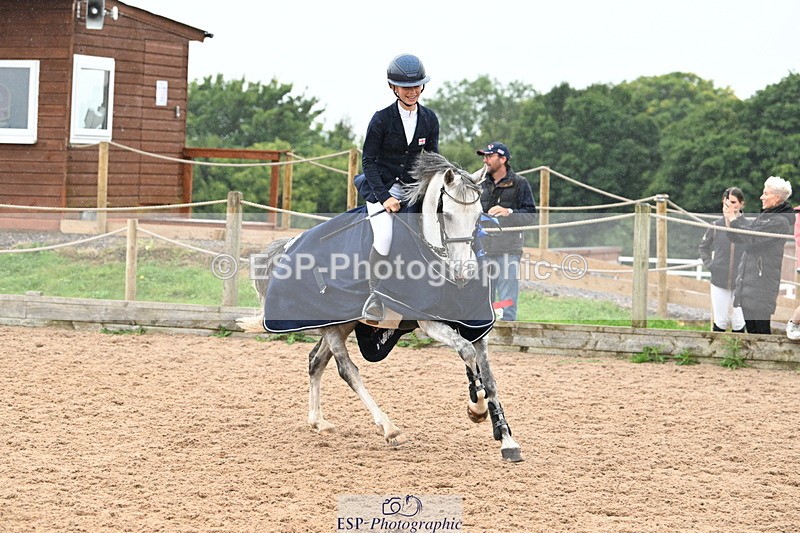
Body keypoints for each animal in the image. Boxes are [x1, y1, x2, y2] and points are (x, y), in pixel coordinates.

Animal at [238, 151, 523, 462]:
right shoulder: (429, 321)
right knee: (347, 370)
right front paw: (476, 409)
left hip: (342, 322)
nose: (465, 271)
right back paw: (389, 428)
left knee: (316, 362)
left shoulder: (475, 325)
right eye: (445, 215)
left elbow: (488, 376)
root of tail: (289, 245)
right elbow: (467, 352)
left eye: (477, 217)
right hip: (332, 325)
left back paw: (319, 422)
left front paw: (506, 439)